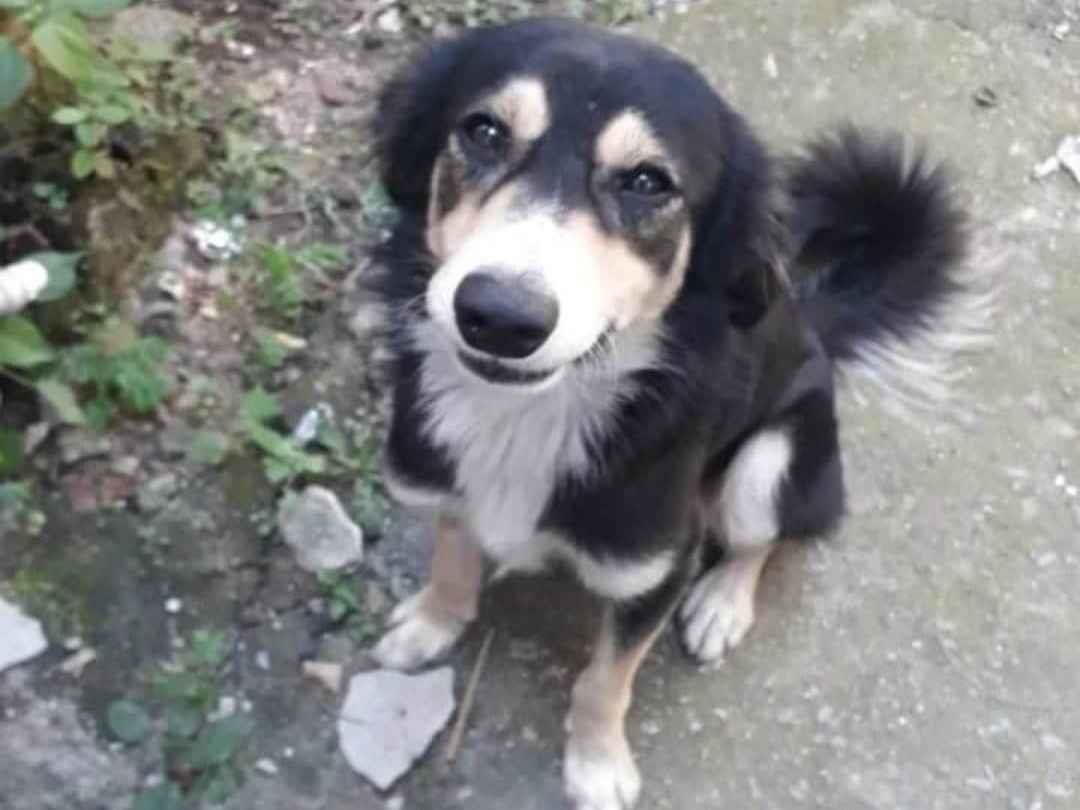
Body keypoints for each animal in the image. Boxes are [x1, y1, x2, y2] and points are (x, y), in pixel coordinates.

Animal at [367, 17, 982, 810]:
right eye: (483, 132)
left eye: (647, 182)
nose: (498, 316)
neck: (530, 413)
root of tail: (814, 325)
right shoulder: (439, 485)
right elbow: (451, 559)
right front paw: (431, 623)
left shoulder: (656, 567)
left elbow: (605, 681)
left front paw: (597, 765)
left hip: (772, 462)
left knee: (761, 538)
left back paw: (722, 602)